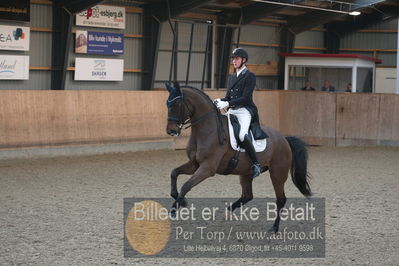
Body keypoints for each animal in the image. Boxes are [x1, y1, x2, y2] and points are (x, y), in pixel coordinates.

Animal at [166, 83, 312, 233]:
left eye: (177, 104)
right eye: (167, 104)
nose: (171, 131)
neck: (206, 130)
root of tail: (284, 139)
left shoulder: (207, 168)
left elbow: (186, 185)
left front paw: (174, 209)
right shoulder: (194, 164)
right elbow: (174, 173)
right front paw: (181, 200)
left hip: (278, 174)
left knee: (280, 199)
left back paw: (274, 228)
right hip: (246, 173)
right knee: (247, 195)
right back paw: (228, 212)